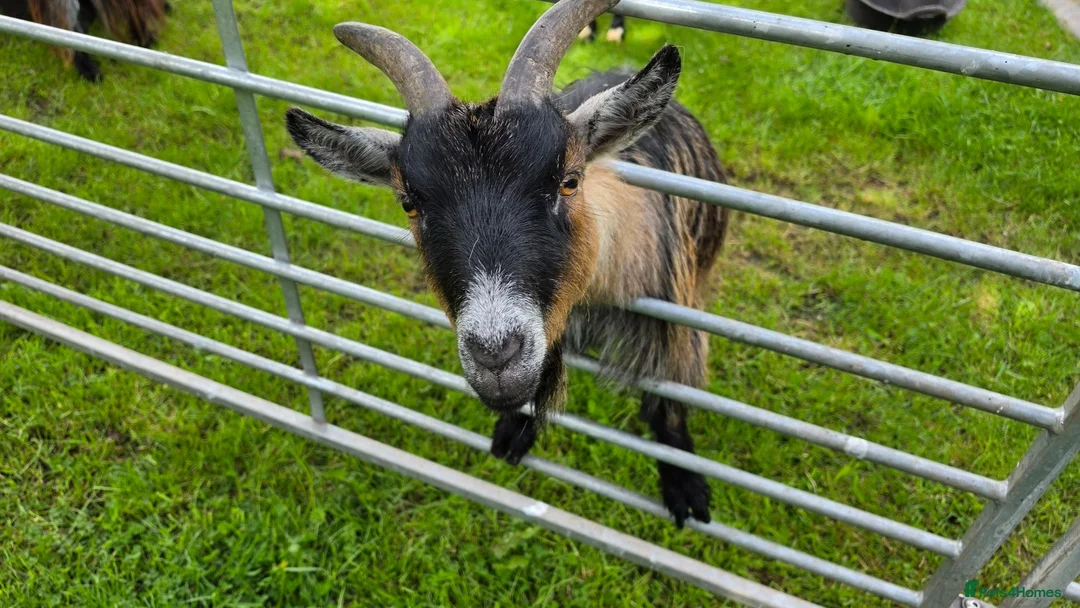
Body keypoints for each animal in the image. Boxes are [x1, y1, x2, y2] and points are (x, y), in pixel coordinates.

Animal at [285, 0, 729, 527]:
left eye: (569, 181)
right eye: (409, 203)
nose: (496, 355)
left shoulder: (674, 318)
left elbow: (671, 401)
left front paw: (685, 486)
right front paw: (512, 431)